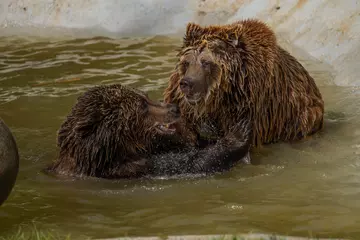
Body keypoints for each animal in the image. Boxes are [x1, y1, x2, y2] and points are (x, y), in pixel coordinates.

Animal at [45, 83, 250, 179]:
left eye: (146, 96)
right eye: (143, 106)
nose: (174, 107)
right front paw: (238, 133)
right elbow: (194, 164)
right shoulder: (138, 168)